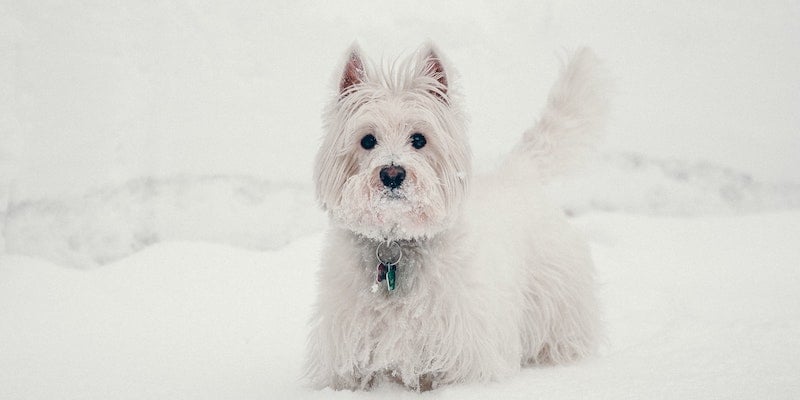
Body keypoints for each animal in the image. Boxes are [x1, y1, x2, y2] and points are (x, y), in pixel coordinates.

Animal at [306, 43, 608, 390]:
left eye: (419, 139)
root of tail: (518, 173)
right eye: (367, 140)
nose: (392, 174)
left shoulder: (464, 351)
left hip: (558, 299)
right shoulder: (346, 348)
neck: (397, 243)